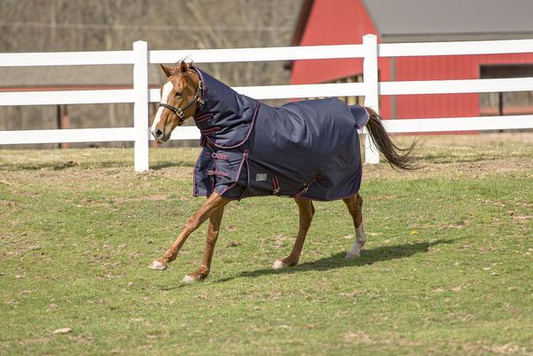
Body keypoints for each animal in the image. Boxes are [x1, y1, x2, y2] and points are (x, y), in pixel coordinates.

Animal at [149, 62, 416, 284]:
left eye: (179, 92)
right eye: (162, 91)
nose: (157, 131)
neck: (233, 128)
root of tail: (351, 110)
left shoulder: (227, 189)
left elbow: (194, 220)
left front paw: (162, 260)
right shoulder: (219, 187)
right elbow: (211, 230)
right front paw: (200, 273)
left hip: (339, 180)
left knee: (355, 204)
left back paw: (355, 248)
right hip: (301, 184)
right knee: (307, 216)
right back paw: (288, 260)